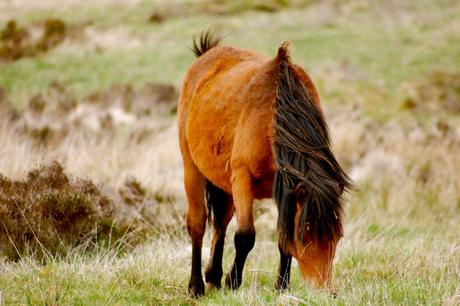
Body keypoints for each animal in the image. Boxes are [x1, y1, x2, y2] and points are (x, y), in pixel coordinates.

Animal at [178, 31, 350, 296]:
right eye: (305, 235)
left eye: (338, 236)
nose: (324, 291)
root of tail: (205, 55)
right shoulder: (242, 179)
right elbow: (245, 236)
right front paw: (234, 282)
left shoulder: (284, 190)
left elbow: (282, 238)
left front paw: (281, 286)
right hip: (192, 170)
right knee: (198, 224)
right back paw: (196, 285)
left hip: (224, 185)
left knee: (220, 225)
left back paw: (214, 277)